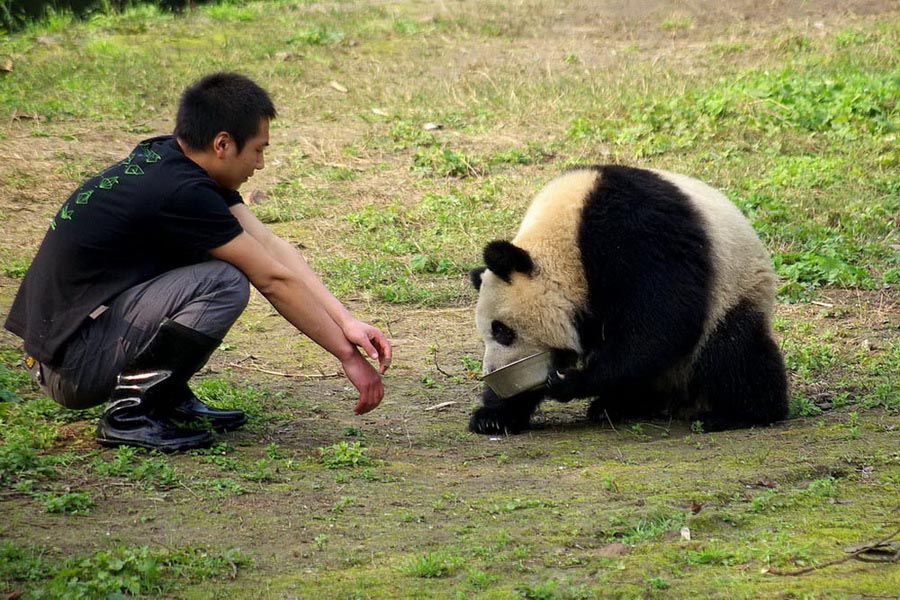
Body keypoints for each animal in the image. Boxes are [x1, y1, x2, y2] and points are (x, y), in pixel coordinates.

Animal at [472, 165, 788, 432]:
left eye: (502, 331)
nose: (493, 371)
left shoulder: (633, 233)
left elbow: (664, 320)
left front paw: (572, 381)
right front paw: (494, 417)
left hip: (735, 290)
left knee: (732, 352)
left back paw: (738, 413)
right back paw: (618, 405)